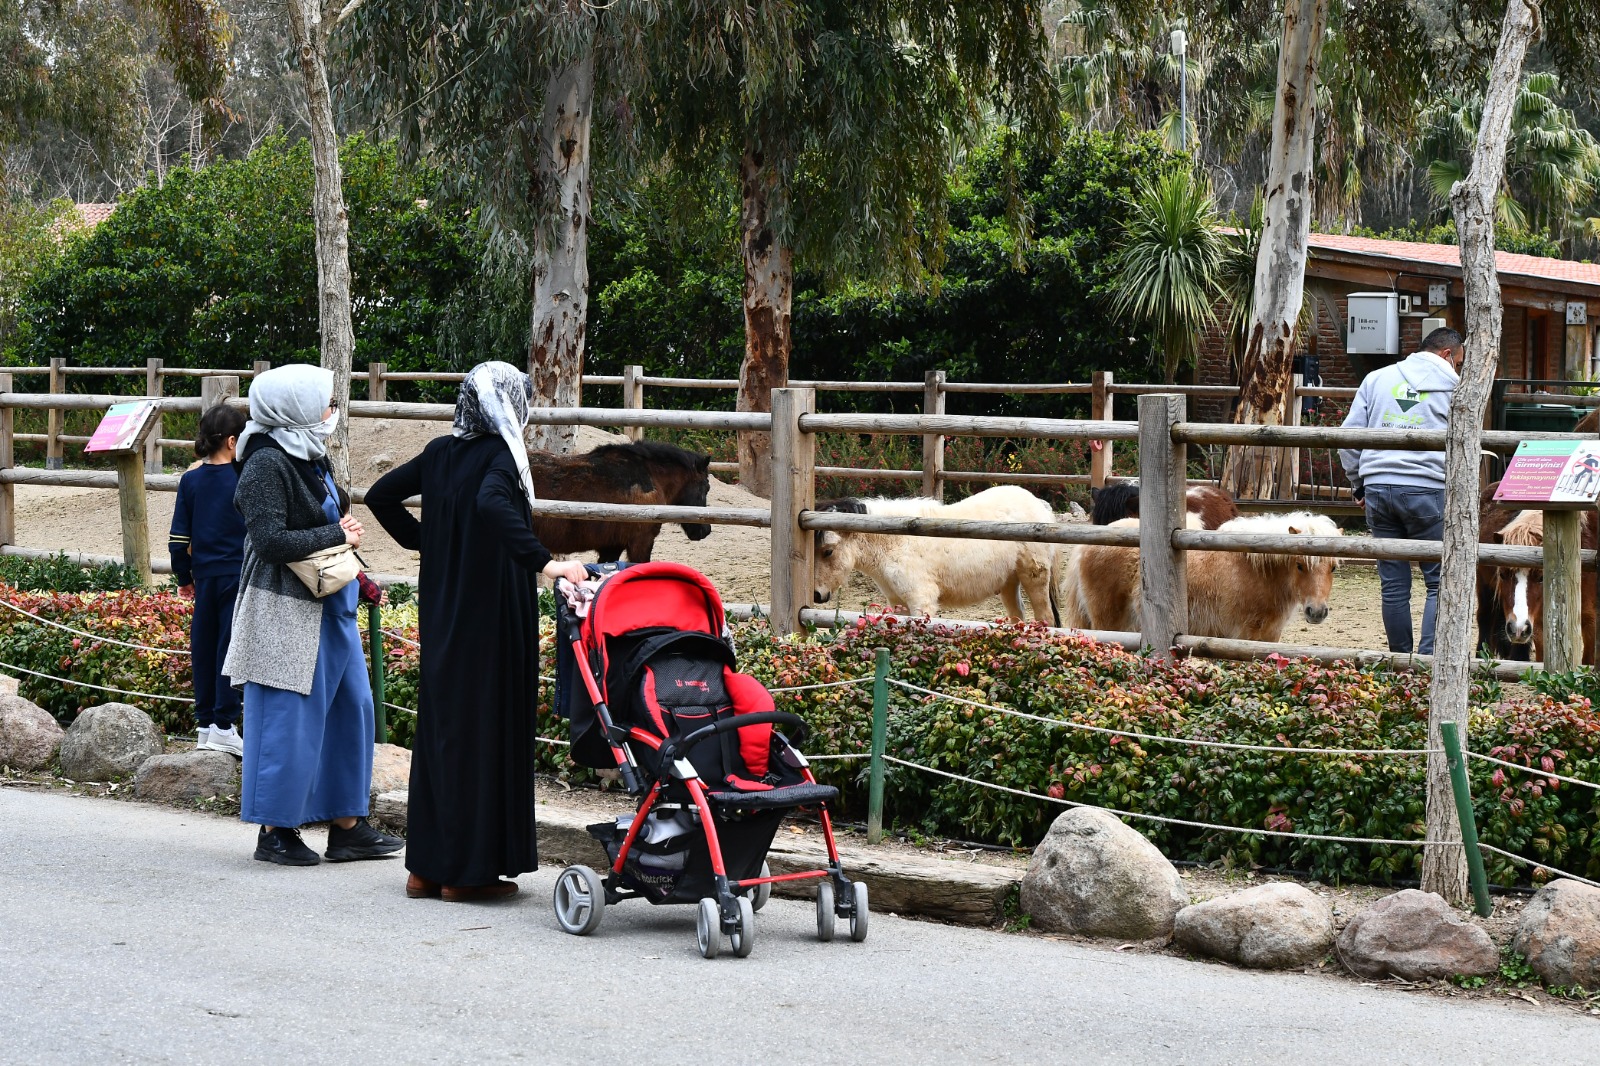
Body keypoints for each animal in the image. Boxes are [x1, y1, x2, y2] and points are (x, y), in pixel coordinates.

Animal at [811, 486, 1060, 624]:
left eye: (828, 551)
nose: (816, 594)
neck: (896, 541)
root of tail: (1039, 504)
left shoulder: (921, 601)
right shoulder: (898, 602)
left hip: (1034, 578)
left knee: (1045, 619)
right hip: (1009, 581)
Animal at [1061, 512, 1342, 642]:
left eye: (1333, 568)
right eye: (1300, 565)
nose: (1317, 611)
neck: (1257, 570)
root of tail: (1084, 548)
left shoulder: (1270, 637)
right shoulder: (1244, 636)